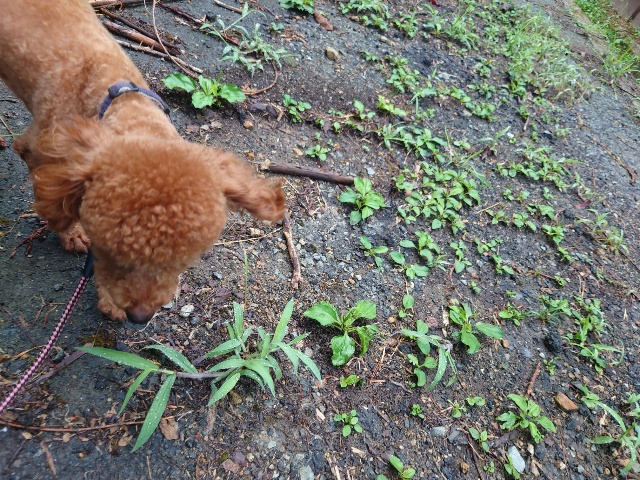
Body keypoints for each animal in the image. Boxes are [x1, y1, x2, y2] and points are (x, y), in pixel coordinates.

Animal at [0, 0, 285, 323]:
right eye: (109, 254)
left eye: (181, 263)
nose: (140, 316)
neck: (119, 98)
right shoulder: (40, 148)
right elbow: (56, 206)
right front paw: (72, 235)